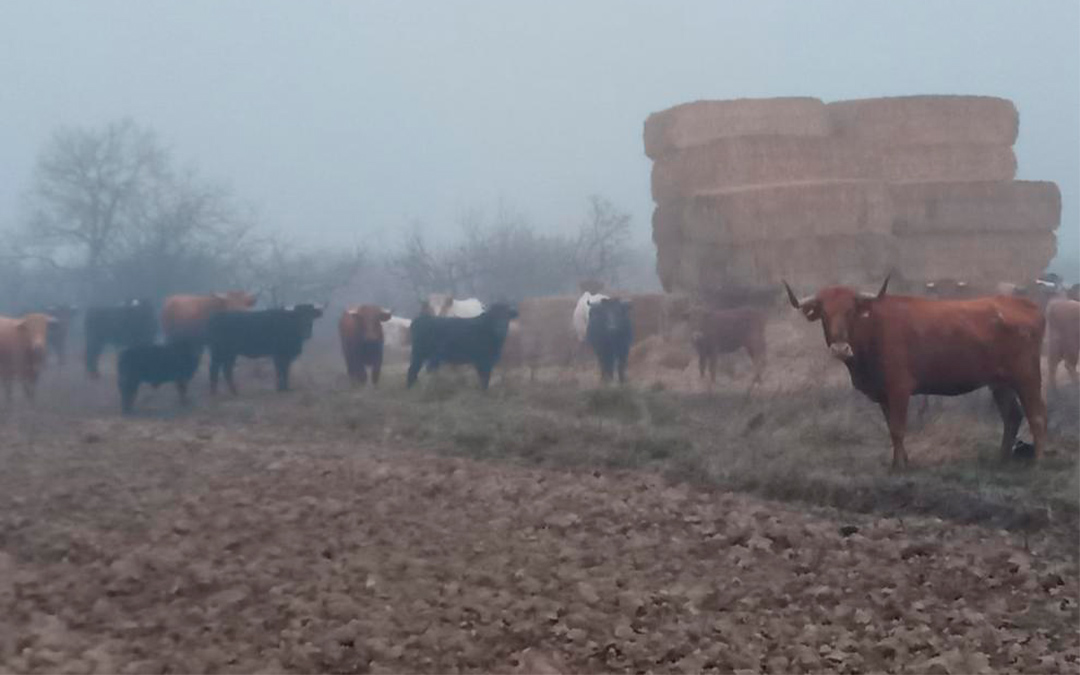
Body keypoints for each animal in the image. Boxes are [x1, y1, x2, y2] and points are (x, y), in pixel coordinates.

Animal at [784, 275, 1047, 469]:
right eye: (824, 313)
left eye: (851, 311)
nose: (840, 348)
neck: (873, 328)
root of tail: (1025, 304)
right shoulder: (884, 393)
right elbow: (891, 427)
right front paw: (900, 460)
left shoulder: (900, 388)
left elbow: (898, 428)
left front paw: (900, 466)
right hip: (999, 382)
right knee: (1012, 416)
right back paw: (1001, 459)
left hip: (1027, 376)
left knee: (1036, 416)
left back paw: (1037, 462)